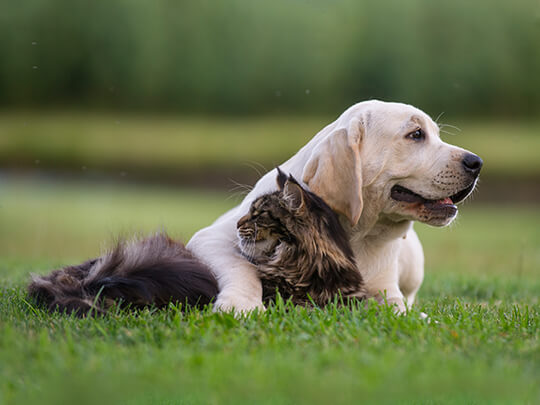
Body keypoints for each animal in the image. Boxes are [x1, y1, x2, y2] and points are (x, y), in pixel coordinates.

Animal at [188, 100, 484, 312]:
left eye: (435, 134)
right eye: (416, 134)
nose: (477, 163)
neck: (360, 236)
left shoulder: (386, 289)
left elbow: (397, 307)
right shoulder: (210, 238)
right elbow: (242, 267)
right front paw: (241, 304)